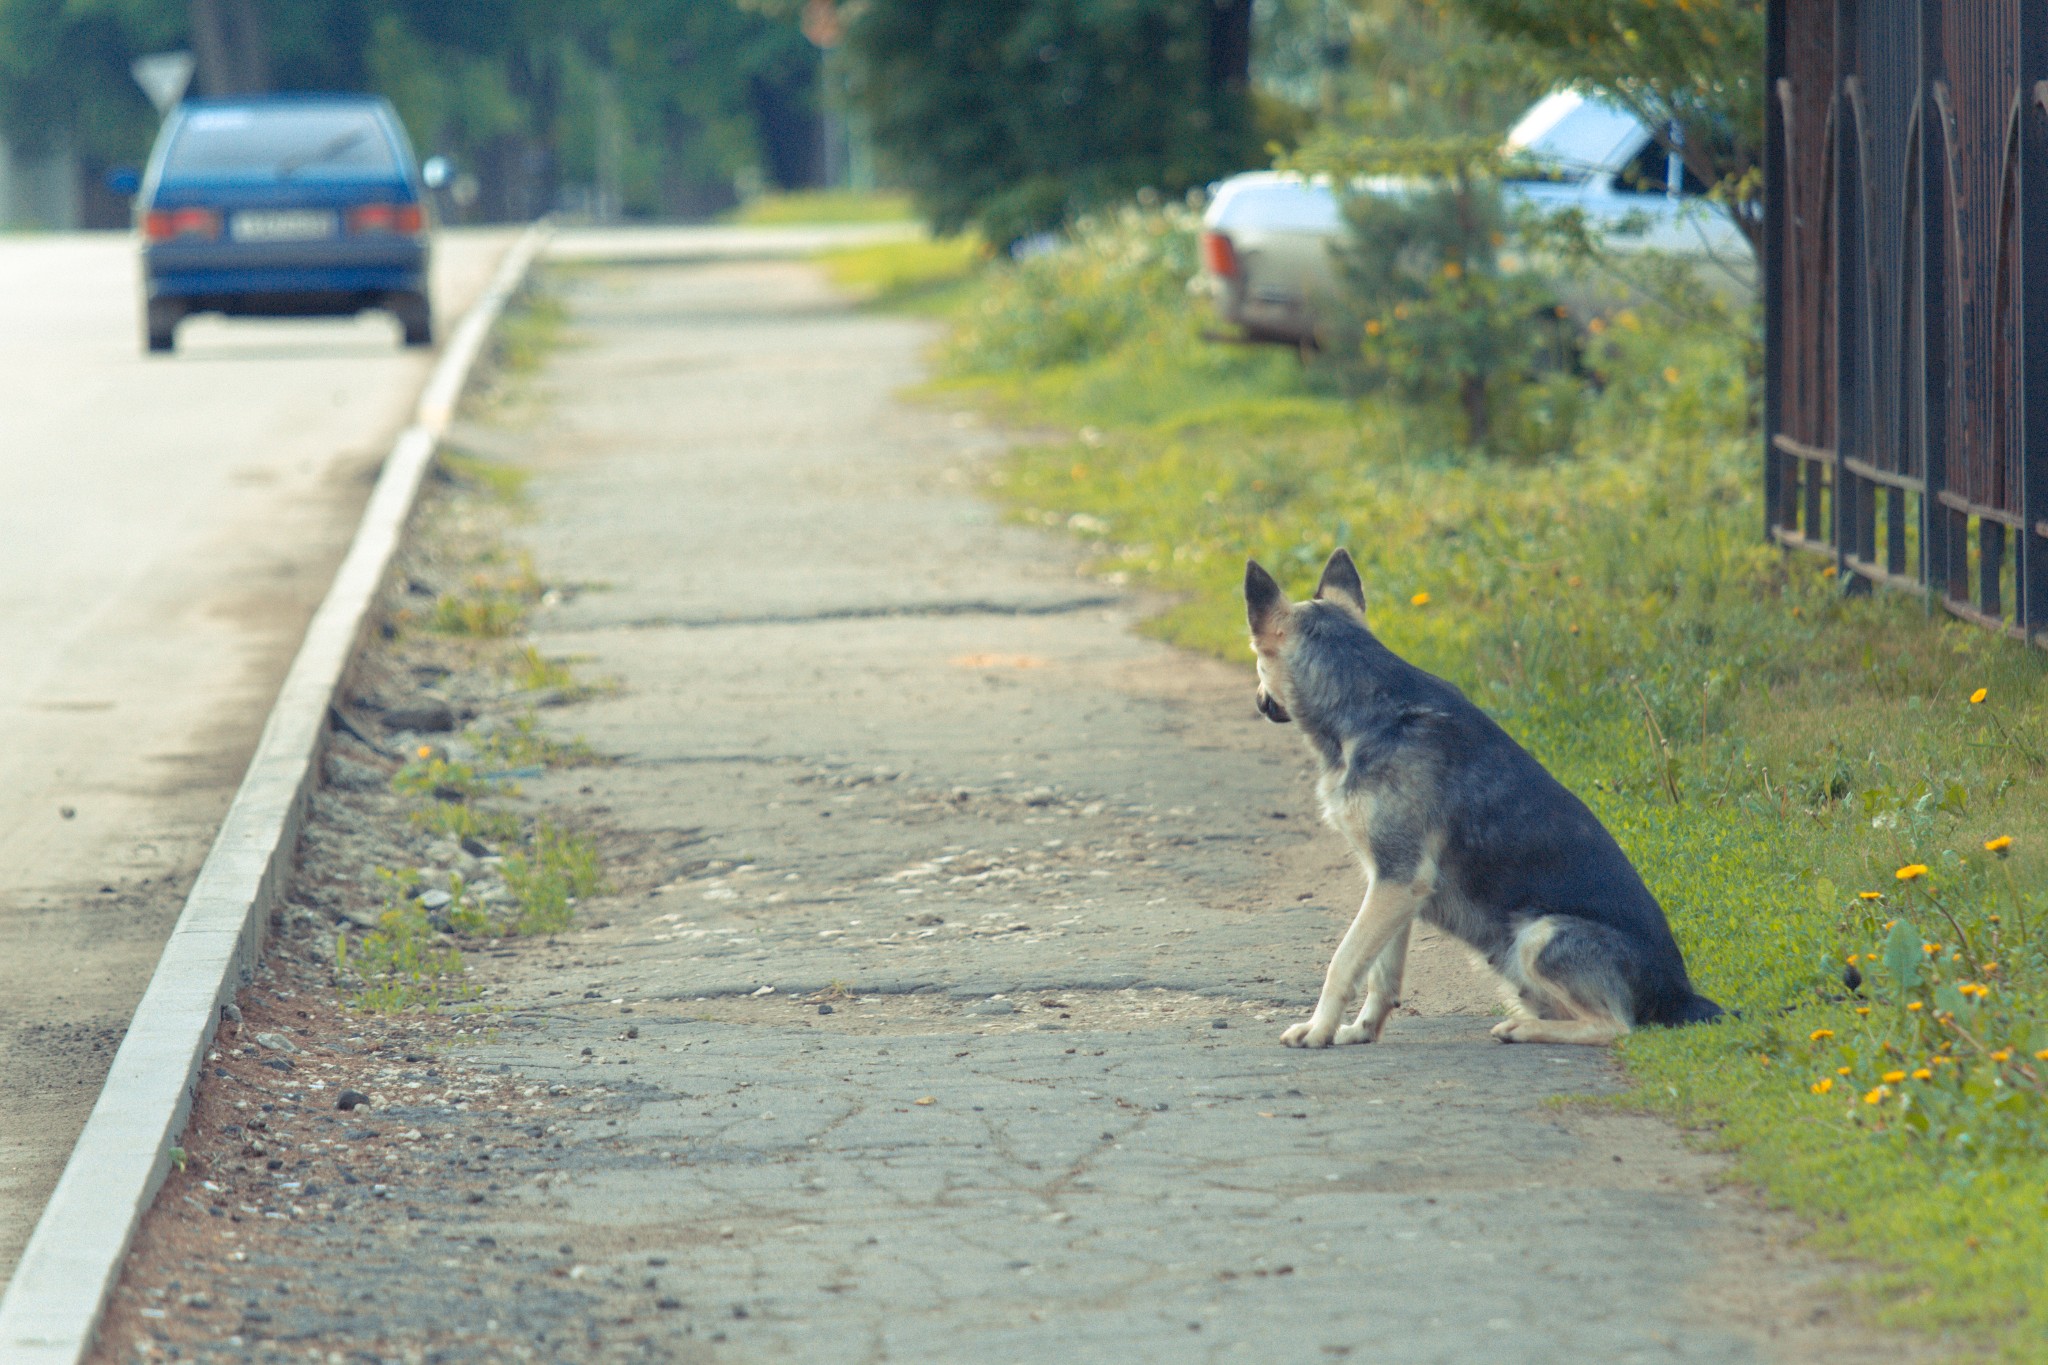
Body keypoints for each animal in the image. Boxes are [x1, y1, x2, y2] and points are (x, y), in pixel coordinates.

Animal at [1236, 548, 1720, 1055]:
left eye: (1257, 661)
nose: (1258, 699)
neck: (1367, 706)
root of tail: (1680, 995)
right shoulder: (1392, 884)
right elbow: (1381, 975)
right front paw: (1360, 1030)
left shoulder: (1395, 881)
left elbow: (1344, 961)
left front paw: (1318, 1029)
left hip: (1539, 935)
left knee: (1616, 1026)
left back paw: (1524, 1029)